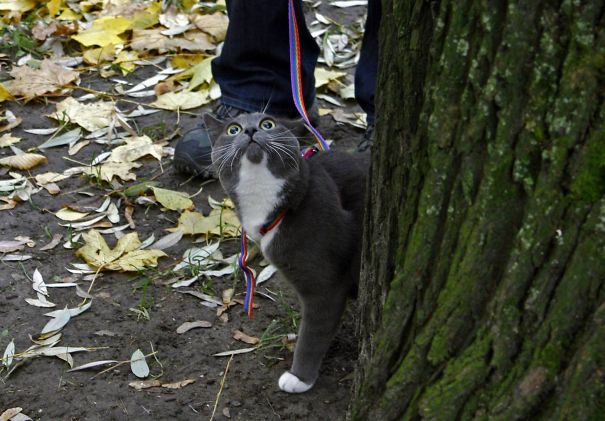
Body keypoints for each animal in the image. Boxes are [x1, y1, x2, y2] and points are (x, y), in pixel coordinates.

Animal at [204, 112, 368, 394]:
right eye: (232, 129)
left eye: (267, 123)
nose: (250, 130)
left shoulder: (326, 284)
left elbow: (313, 331)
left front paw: (299, 377)